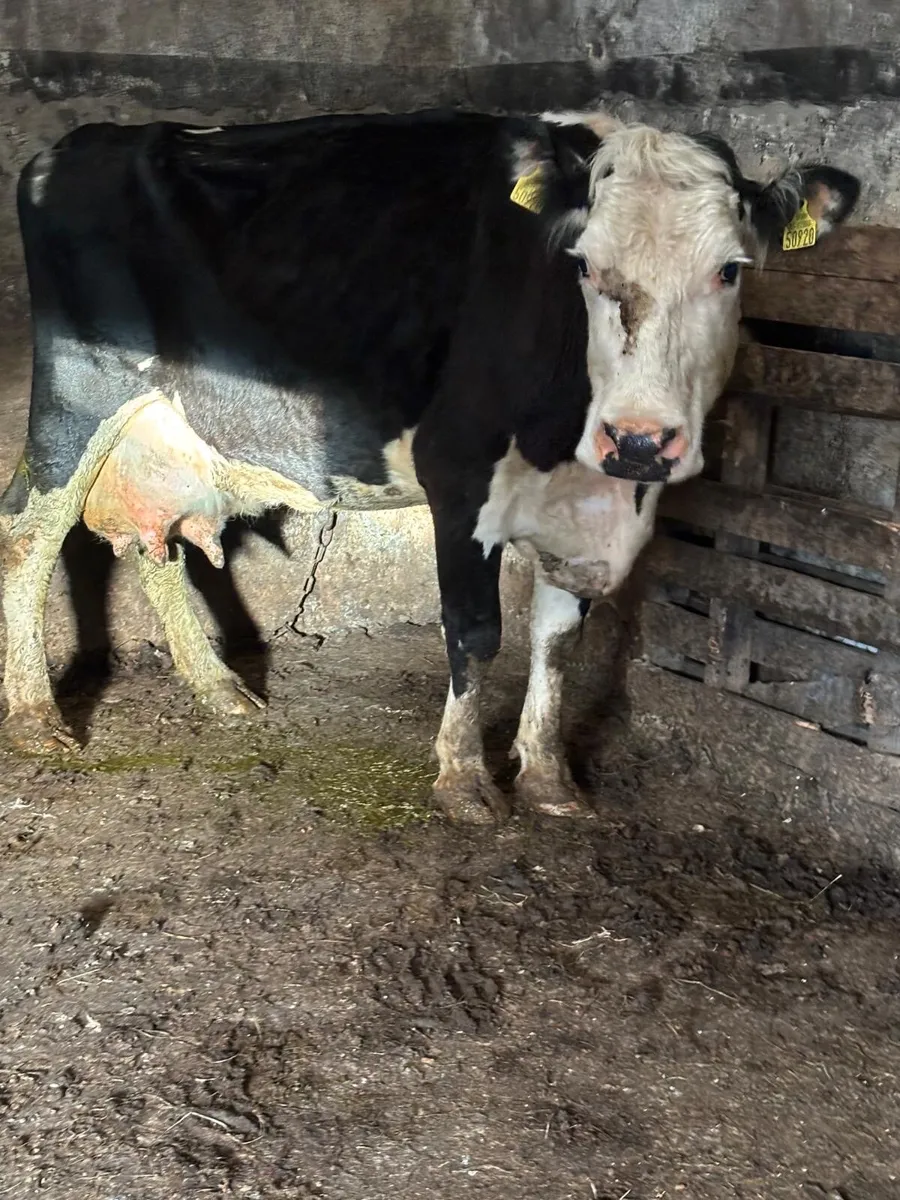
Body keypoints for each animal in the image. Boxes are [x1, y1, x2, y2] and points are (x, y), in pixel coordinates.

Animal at [0, 109, 859, 823]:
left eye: (731, 269)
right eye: (583, 265)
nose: (642, 440)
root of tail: (76, 143)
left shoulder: (591, 512)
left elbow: (557, 640)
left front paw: (547, 776)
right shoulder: (460, 475)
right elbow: (476, 633)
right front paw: (465, 780)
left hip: (166, 430)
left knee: (156, 547)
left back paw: (218, 688)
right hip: (78, 398)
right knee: (29, 537)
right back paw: (37, 716)